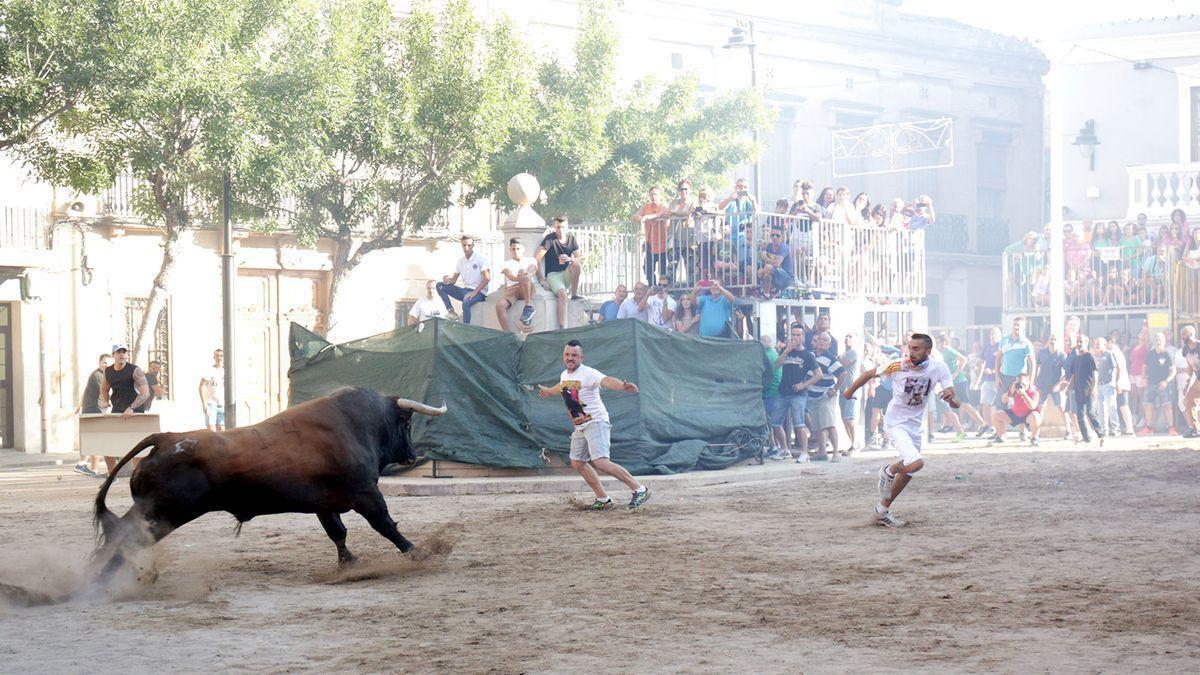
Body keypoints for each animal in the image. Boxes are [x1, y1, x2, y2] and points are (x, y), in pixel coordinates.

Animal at [91, 386, 444, 576]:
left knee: (119, 533)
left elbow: (338, 534)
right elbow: (385, 524)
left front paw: (349, 564)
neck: (356, 424)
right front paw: (418, 552)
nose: (412, 455)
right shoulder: (366, 493)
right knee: (126, 537)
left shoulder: (325, 504)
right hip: (163, 513)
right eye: (407, 423)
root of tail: (165, 438)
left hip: (153, 511)